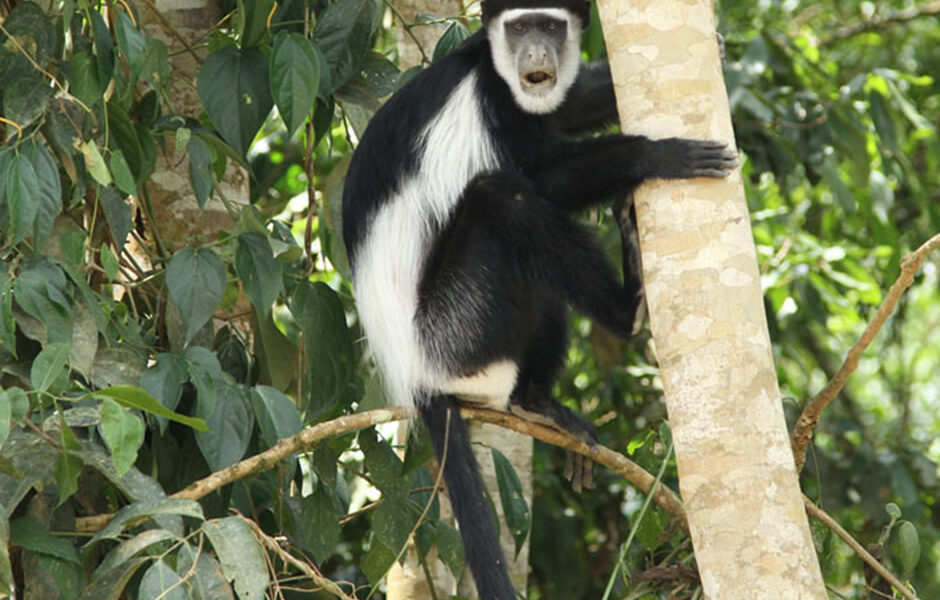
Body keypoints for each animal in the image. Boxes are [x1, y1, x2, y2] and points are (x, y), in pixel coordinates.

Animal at [342, 1, 740, 596]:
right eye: (520, 27)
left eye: (550, 26)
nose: (536, 53)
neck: (494, 74)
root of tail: (416, 376)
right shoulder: (492, 109)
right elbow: (540, 178)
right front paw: (657, 155)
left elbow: (566, 105)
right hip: (457, 328)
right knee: (504, 199)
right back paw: (625, 312)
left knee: (542, 290)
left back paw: (539, 402)